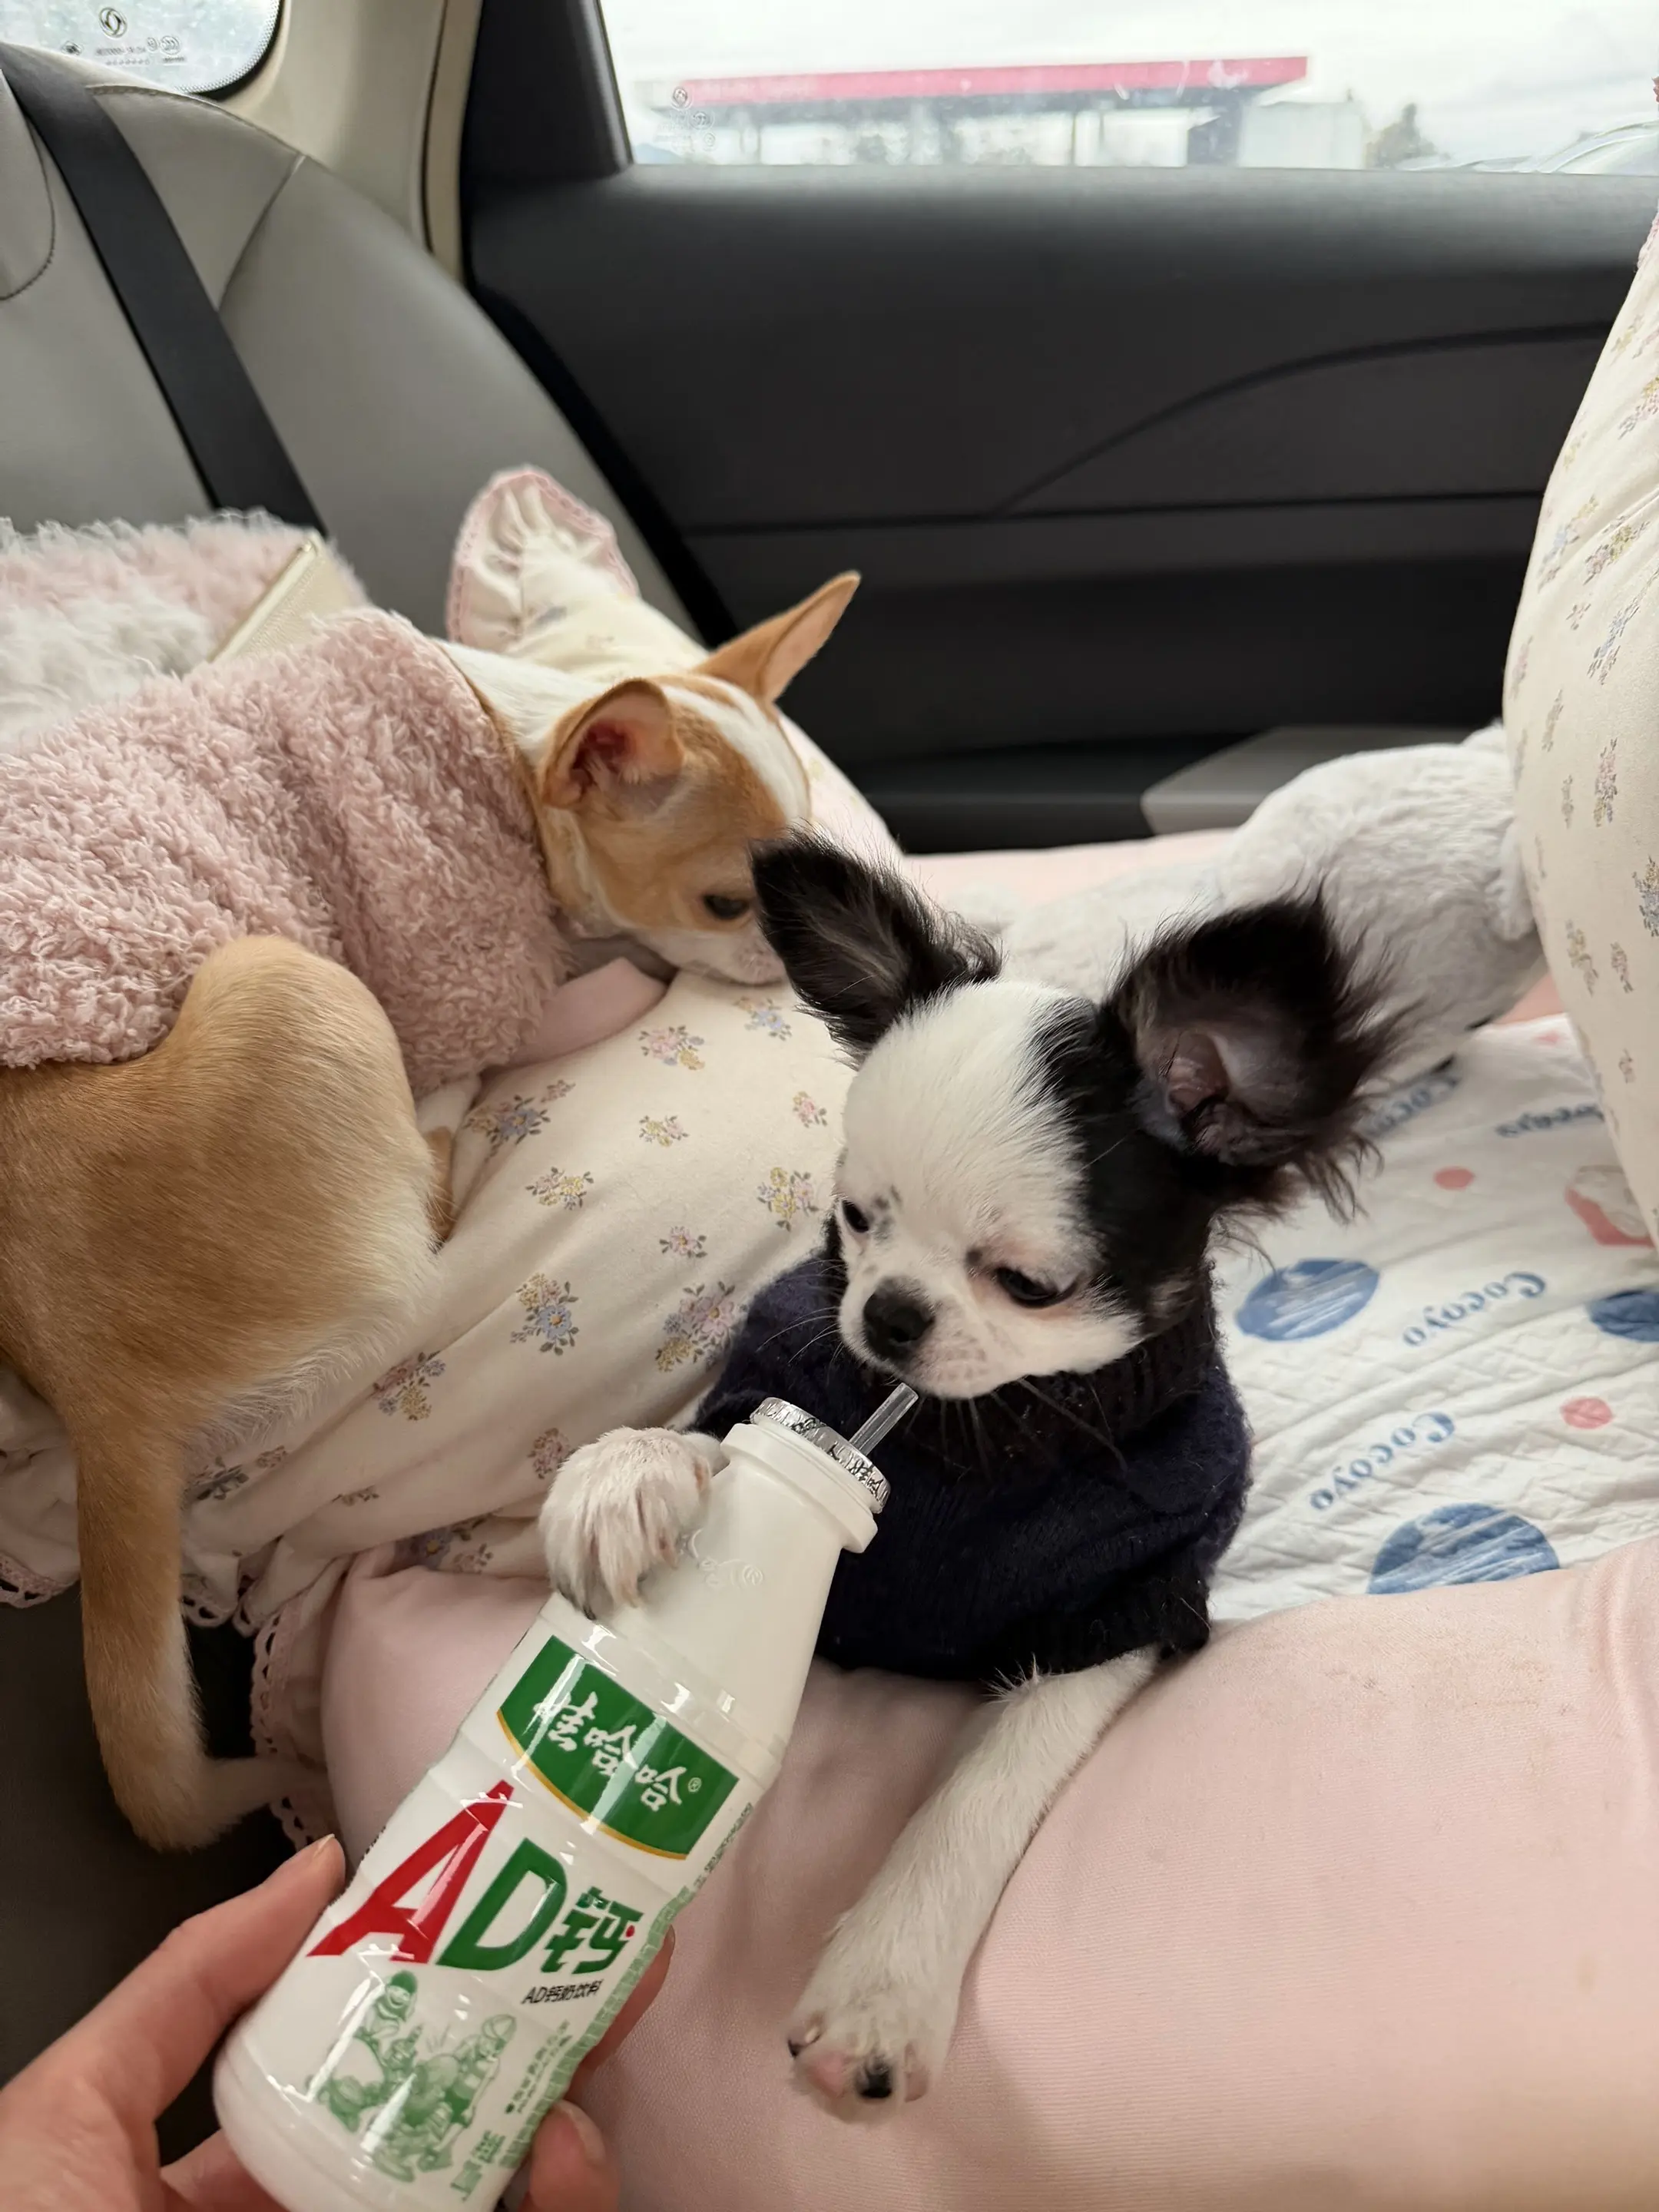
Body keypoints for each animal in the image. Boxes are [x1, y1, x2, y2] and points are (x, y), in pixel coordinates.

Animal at [0, 574, 855, 1850]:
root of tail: (93, 1386)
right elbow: (581, 985)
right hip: (297, 987)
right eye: (725, 902)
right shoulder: (498, 981)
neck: (514, 749)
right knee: (430, 1196)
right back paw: (443, 1109)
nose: (799, 971)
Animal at [540, 835, 1394, 2115]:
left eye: (1031, 1285)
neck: (982, 1437)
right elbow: (737, 1442)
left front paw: (882, 1985)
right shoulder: (794, 1391)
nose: (888, 1314)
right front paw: (624, 1476)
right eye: (852, 1220)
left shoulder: (1127, 1607)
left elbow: (986, 1786)